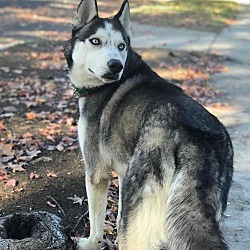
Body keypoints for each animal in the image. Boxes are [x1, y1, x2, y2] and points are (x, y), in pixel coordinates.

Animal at [63, 0, 233, 249]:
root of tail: (196, 137)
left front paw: (90, 243)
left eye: (121, 46)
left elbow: (96, 223)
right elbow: (117, 218)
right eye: (95, 41)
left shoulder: (96, 174)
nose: (115, 65)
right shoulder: (123, 175)